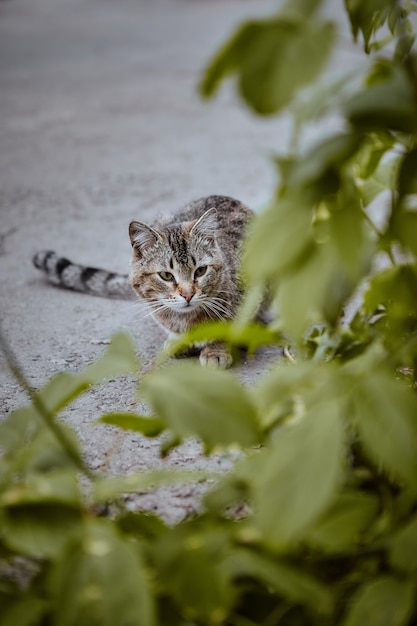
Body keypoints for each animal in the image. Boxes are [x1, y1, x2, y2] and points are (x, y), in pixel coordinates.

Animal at [32, 194, 254, 366]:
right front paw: (179, 340)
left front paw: (215, 350)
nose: (188, 294)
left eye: (200, 271)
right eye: (166, 275)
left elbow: (227, 325)